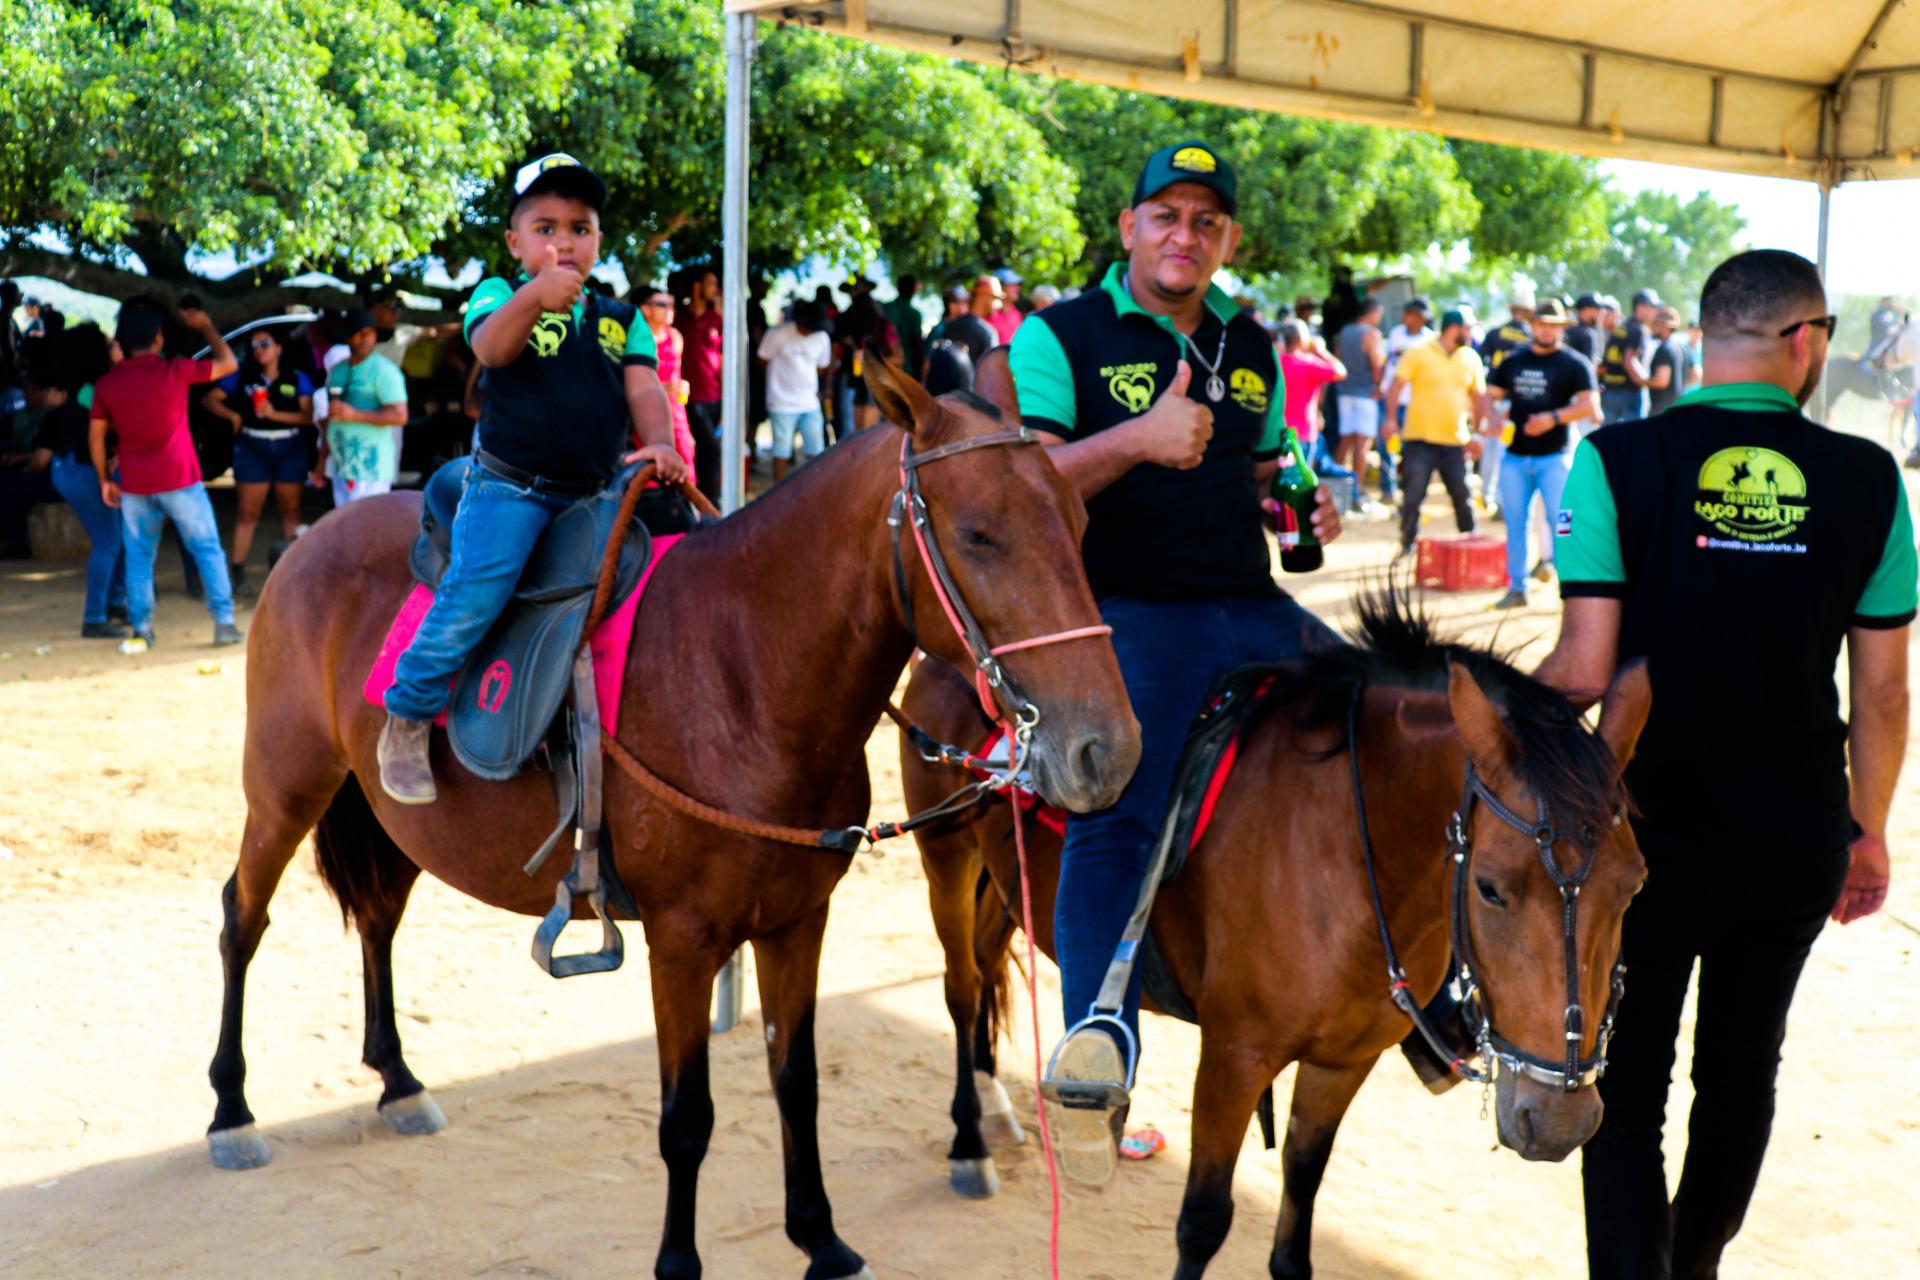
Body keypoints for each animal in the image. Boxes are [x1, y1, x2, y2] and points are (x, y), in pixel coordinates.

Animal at [209, 355, 1141, 1280]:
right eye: (980, 534)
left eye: (1080, 517)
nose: (1110, 749)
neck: (745, 674)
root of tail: (319, 533)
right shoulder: (682, 941)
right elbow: (687, 1117)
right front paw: (680, 1263)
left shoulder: (797, 921)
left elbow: (794, 1082)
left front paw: (822, 1239)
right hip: (286, 787)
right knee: (242, 918)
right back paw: (232, 1113)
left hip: (389, 816)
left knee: (377, 920)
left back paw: (399, 1083)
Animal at [899, 595, 1651, 1278]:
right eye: (1491, 888)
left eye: (1635, 886)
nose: (1561, 1122)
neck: (1346, 850)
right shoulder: (1233, 1059)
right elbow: (1203, 1221)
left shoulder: (1344, 1062)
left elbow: (1300, 1198)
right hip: (947, 856)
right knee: (962, 988)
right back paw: (973, 1141)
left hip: (1004, 881)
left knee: (988, 968)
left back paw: (1000, 1106)